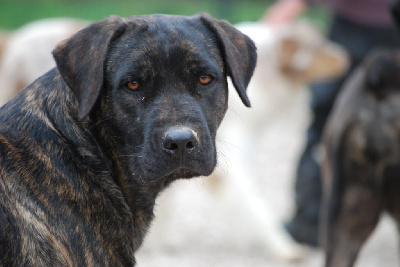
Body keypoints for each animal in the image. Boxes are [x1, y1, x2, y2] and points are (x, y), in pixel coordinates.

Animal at [0, 18, 346, 264]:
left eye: (205, 78)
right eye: (132, 84)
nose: (180, 142)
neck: (81, 148)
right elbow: (254, 205)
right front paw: (285, 247)